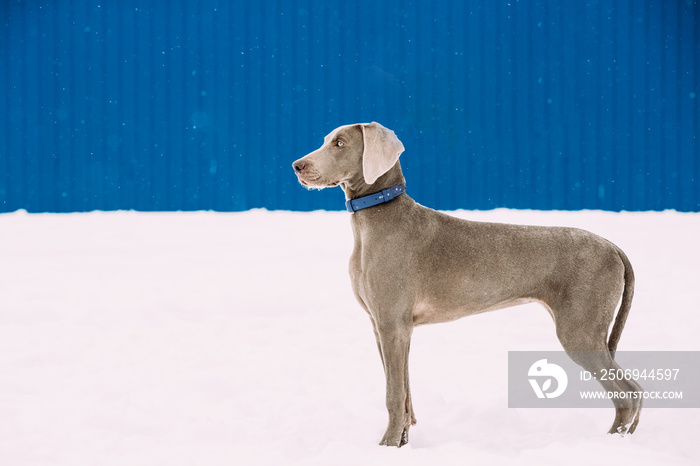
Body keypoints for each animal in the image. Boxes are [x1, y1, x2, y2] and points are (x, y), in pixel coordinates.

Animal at [292, 122, 644, 446]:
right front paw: (402, 442)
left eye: (339, 143)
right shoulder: (387, 327)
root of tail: (614, 247)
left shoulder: (391, 324)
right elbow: (405, 393)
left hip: (580, 328)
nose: (297, 165)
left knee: (628, 392)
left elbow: (394, 394)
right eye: (326, 140)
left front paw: (387, 446)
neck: (374, 218)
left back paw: (613, 442)